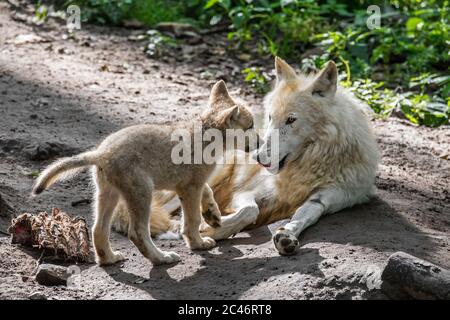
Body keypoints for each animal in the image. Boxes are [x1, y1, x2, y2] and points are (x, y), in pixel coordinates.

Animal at [113, 57, 380, 256]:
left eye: (291, 120)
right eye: (270, 117)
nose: (259, 157)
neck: (309, 164)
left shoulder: (329, 198)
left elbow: (303, 216)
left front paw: (287, 235)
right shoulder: (247, 192)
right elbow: (250, 210)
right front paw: (211, 229)